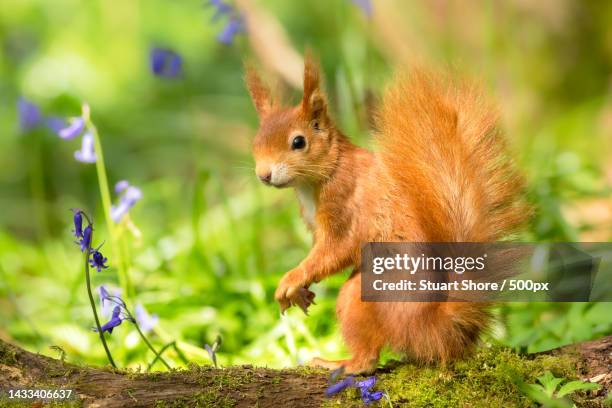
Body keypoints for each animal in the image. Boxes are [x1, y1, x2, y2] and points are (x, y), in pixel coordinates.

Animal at [246, 55, 528, 374]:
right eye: (256, 143)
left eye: (298, 142)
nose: (264, 175)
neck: (320, 176)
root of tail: (427, 326)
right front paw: (301, 292)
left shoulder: (345, 205)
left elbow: (336, 249)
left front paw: (291, 280)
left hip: (364, 297)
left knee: (368, 357)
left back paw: (342, 364)